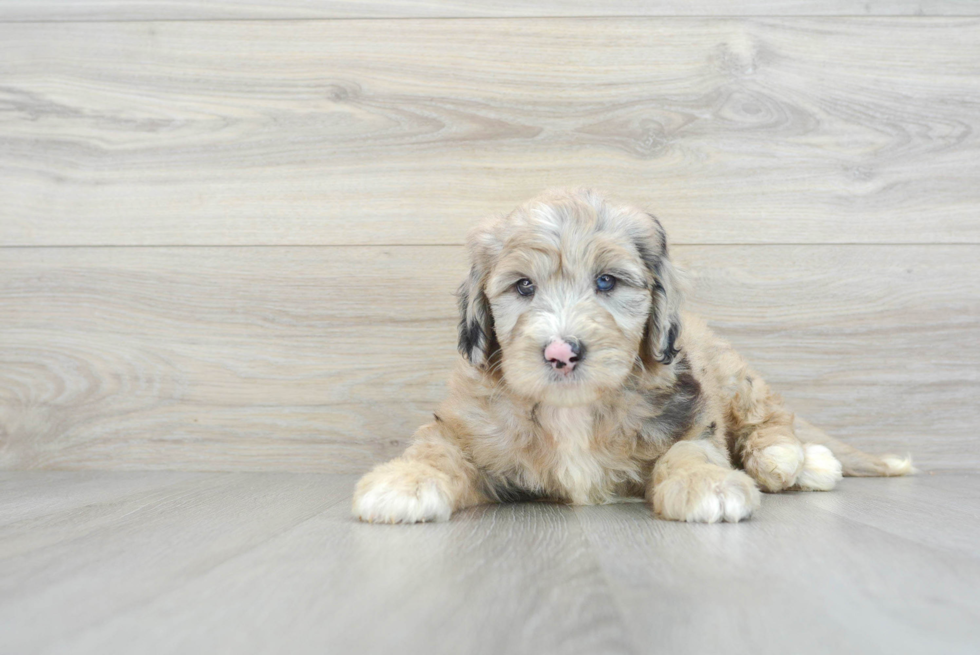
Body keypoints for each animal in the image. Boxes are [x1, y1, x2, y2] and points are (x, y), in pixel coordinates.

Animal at [350, 188, 912, 524]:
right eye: (523, 286)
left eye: (606, 282)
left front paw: (707, 484)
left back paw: (795, 459)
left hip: (735, 374)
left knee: (770, 417)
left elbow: (689, 452)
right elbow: (436, 450)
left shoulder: (691, 416)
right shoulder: (467, 425)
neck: (573, 410)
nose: (560, 352)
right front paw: (403, 480)